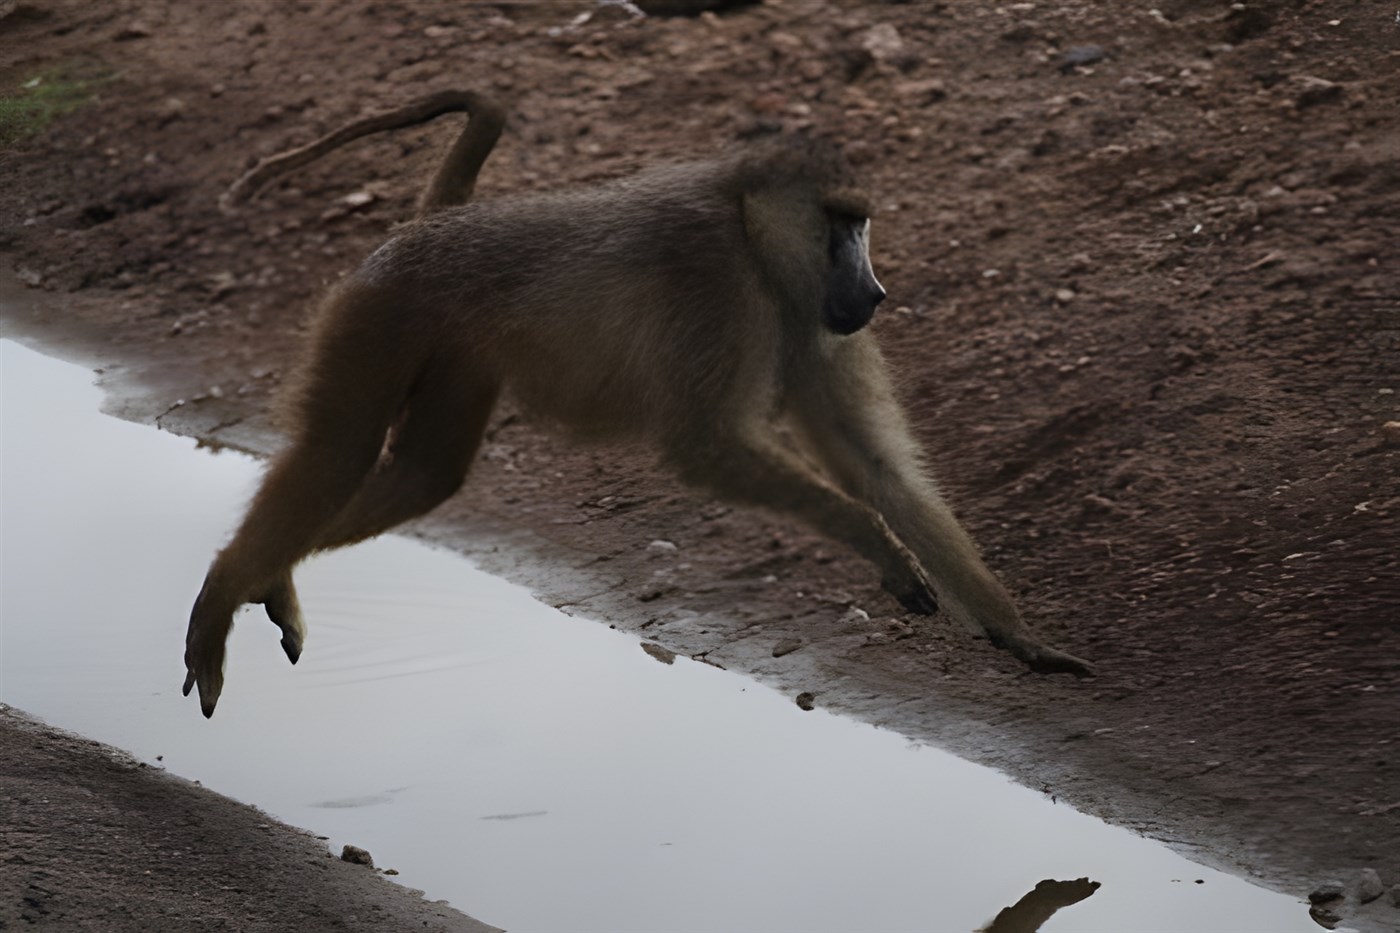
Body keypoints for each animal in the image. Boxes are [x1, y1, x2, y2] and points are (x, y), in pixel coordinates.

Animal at [184, 91, 1092, 717]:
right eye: (839, 223)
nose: (874, 292)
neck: (754, 237)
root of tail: (425, 231)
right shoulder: (719, 290)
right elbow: (705, 444)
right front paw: (887, 555)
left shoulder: (812, 324)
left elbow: (877, 466)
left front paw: (1021, 638)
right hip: (381, 311)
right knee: (337, 453)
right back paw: (223, 592)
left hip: (446, 348)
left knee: (420, 475)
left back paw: (266, 578)